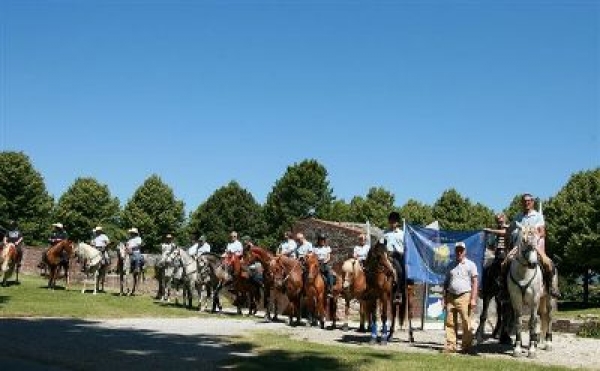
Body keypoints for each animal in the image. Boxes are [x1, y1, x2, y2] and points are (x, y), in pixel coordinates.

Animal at [508, 225, 556, 358]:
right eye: (523, 241)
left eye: (537, 240)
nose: (533, 263)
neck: (523, 273)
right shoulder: (516, 300)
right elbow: (518, 322)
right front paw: (517, 349)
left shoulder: (534, 300)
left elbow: (532, 323)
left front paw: (532, 351)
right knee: (543, 317)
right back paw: (537, 341)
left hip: (550, 299)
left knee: (549, 318)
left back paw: (548, 344)